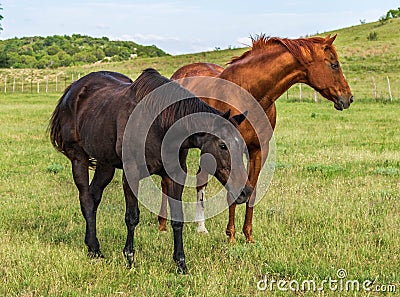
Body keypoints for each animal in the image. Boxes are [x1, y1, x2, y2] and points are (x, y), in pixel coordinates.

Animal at [49, 68, 250, 272]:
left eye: (243, 146)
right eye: (223, 146)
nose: (246, 192)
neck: (160, 124)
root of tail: (72, 90)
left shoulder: (175, 175)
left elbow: (177, 219)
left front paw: (181, 264)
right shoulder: (131, 174)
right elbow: (132, 217)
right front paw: (129, 258)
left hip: (106, 164)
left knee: (94, 196)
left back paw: (93, 247)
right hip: (78, 158)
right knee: (86, 199)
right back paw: (94, 250)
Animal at [159, 34, 354, 243]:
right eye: (334, 64)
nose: (348, 98)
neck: (248, 95)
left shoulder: (258, 151)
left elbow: (251, 192)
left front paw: (248, 236)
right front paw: (231, 237)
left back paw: (200, 227)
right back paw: (164, 224)